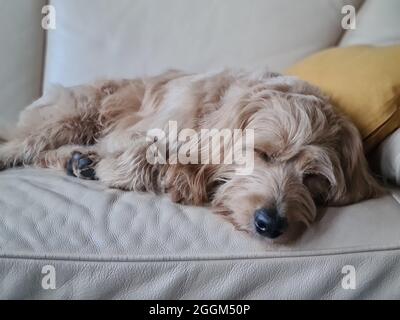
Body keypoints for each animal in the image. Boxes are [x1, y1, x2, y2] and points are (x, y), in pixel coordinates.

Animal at [0, 69, 382, 240]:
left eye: (313, 177)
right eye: (262, 153)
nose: (271, 224)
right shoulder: (147, 128)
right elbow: (147, 149)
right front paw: (116, 168)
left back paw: (77, 161)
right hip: (75, 113)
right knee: (26, 145)